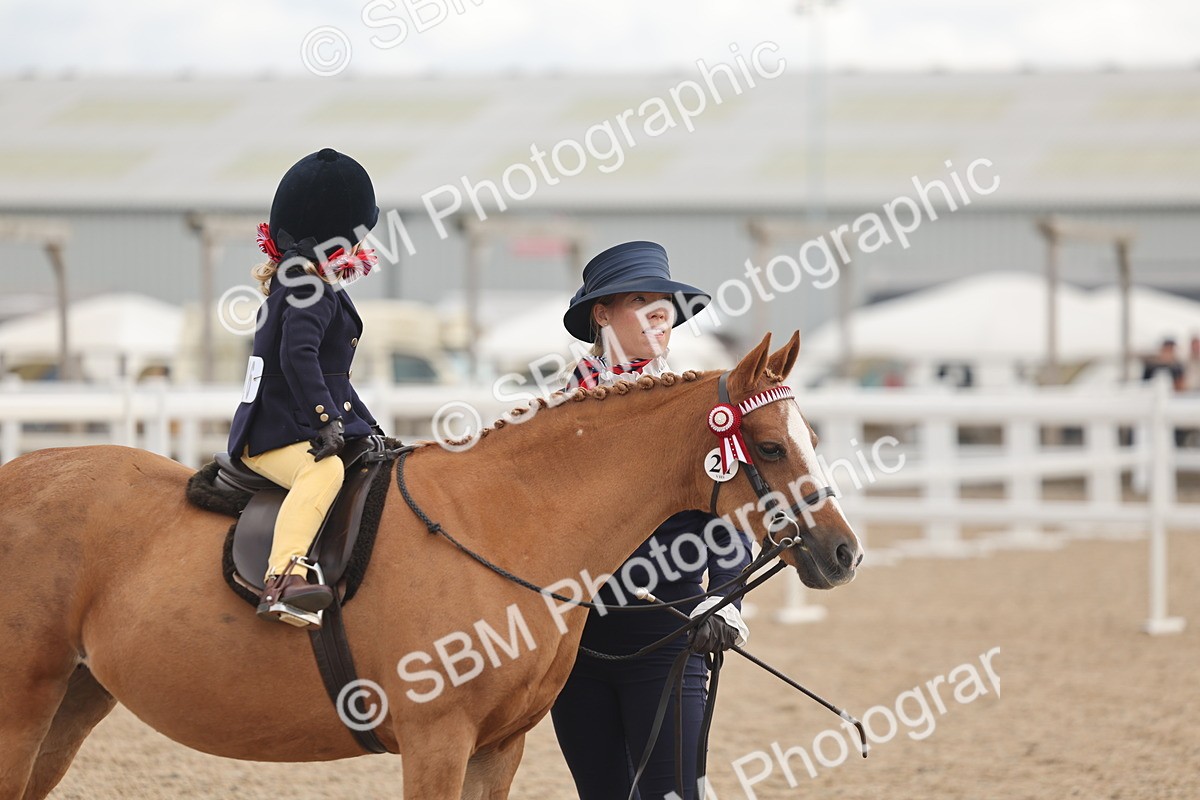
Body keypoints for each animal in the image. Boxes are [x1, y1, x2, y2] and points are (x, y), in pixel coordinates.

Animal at [0, 331, 861, 799]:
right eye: (772, 447)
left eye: (811, 436)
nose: (844, 551)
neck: (505, 520)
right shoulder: (436, 742)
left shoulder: (498, 748)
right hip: (24, 702)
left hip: (75, 697)